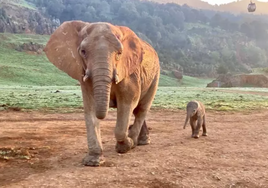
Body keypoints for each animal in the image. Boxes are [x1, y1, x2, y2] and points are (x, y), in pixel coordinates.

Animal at [44, 20, 160, 166]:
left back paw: (136, 142)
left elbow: (127, 103)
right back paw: (139, 141)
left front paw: (125, 146)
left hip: (155, 75)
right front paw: (93, 162)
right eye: (83, 52)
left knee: (141, 109)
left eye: (119, 53)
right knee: (137, 110)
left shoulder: (130, 73)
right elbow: (90, 108)